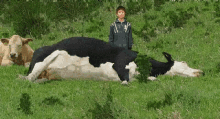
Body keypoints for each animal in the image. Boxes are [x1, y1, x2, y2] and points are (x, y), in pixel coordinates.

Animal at [18, 36, 203, 84]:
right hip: (44, 58)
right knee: (26, 79)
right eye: (184, 63)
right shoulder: (120, 64)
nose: (201, 71)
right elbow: (126, 80)